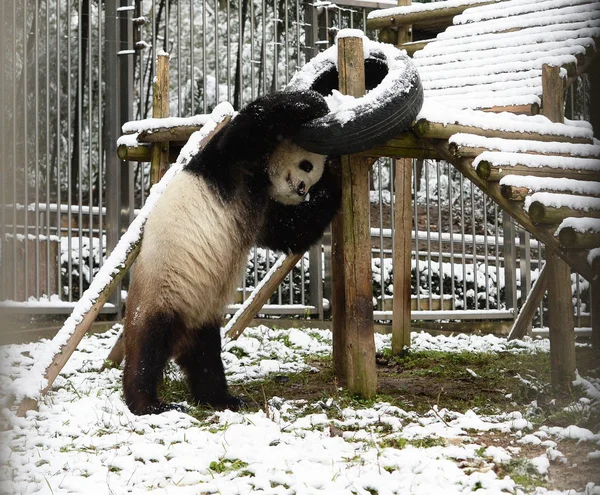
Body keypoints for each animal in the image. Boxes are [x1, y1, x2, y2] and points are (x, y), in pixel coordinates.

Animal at [122, 91, 340, 416]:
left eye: (312, 175)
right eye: (306, 165)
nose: (303, 189)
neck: (262, 178)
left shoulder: (264, 212)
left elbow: (292, 230)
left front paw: (334, 178)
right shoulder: (230, 167)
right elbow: (250, 127)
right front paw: (312, 102)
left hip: (199, 314)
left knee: (205, 359)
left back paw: (222, 398)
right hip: (162, 292)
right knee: (148, 349)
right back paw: (149, 404)